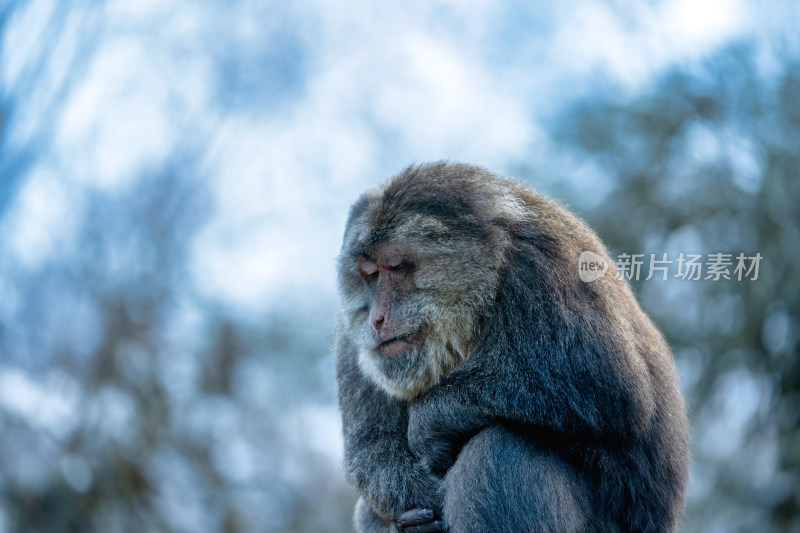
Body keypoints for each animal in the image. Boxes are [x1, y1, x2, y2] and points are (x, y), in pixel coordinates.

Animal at [334, 163, 692, 532]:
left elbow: (611, 386)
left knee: (501, 451)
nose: (376, 318)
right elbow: (370, 449)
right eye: (370, 274)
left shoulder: (541, 265)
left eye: (396, 266)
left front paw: (430, 421)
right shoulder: (350, 335)